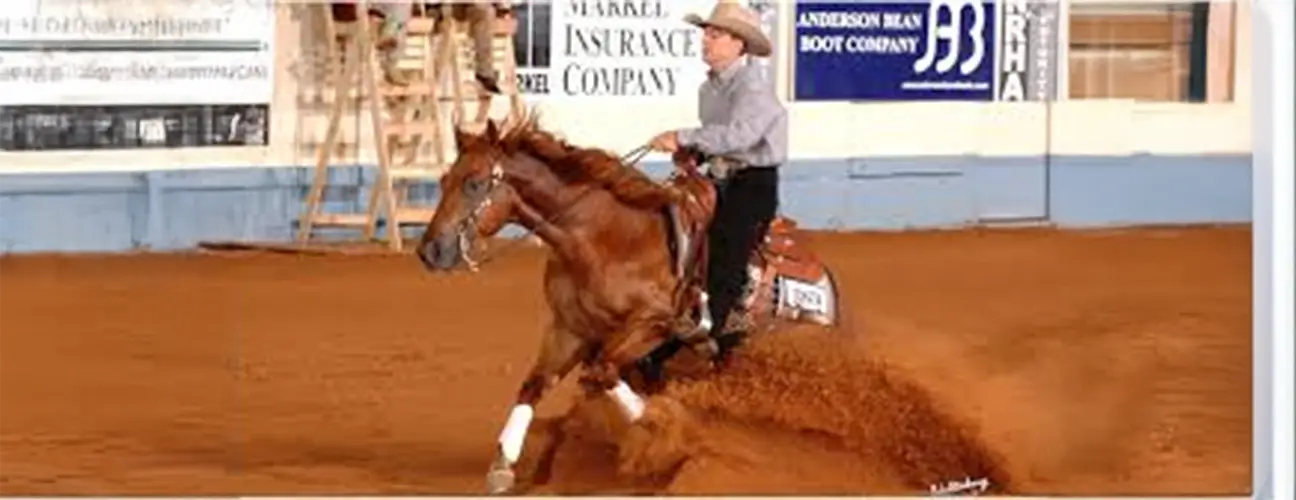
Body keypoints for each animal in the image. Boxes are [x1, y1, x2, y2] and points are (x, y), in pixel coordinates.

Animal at [415, 113, 839, 494]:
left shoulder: (653, 326)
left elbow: (600, 371)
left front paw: (660, 433)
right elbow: (535, 385)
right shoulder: (569, 328)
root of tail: (824, 284)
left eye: (474, 183)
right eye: (443, 181)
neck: (607, 241)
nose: (430, 250)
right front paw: (503, 465)